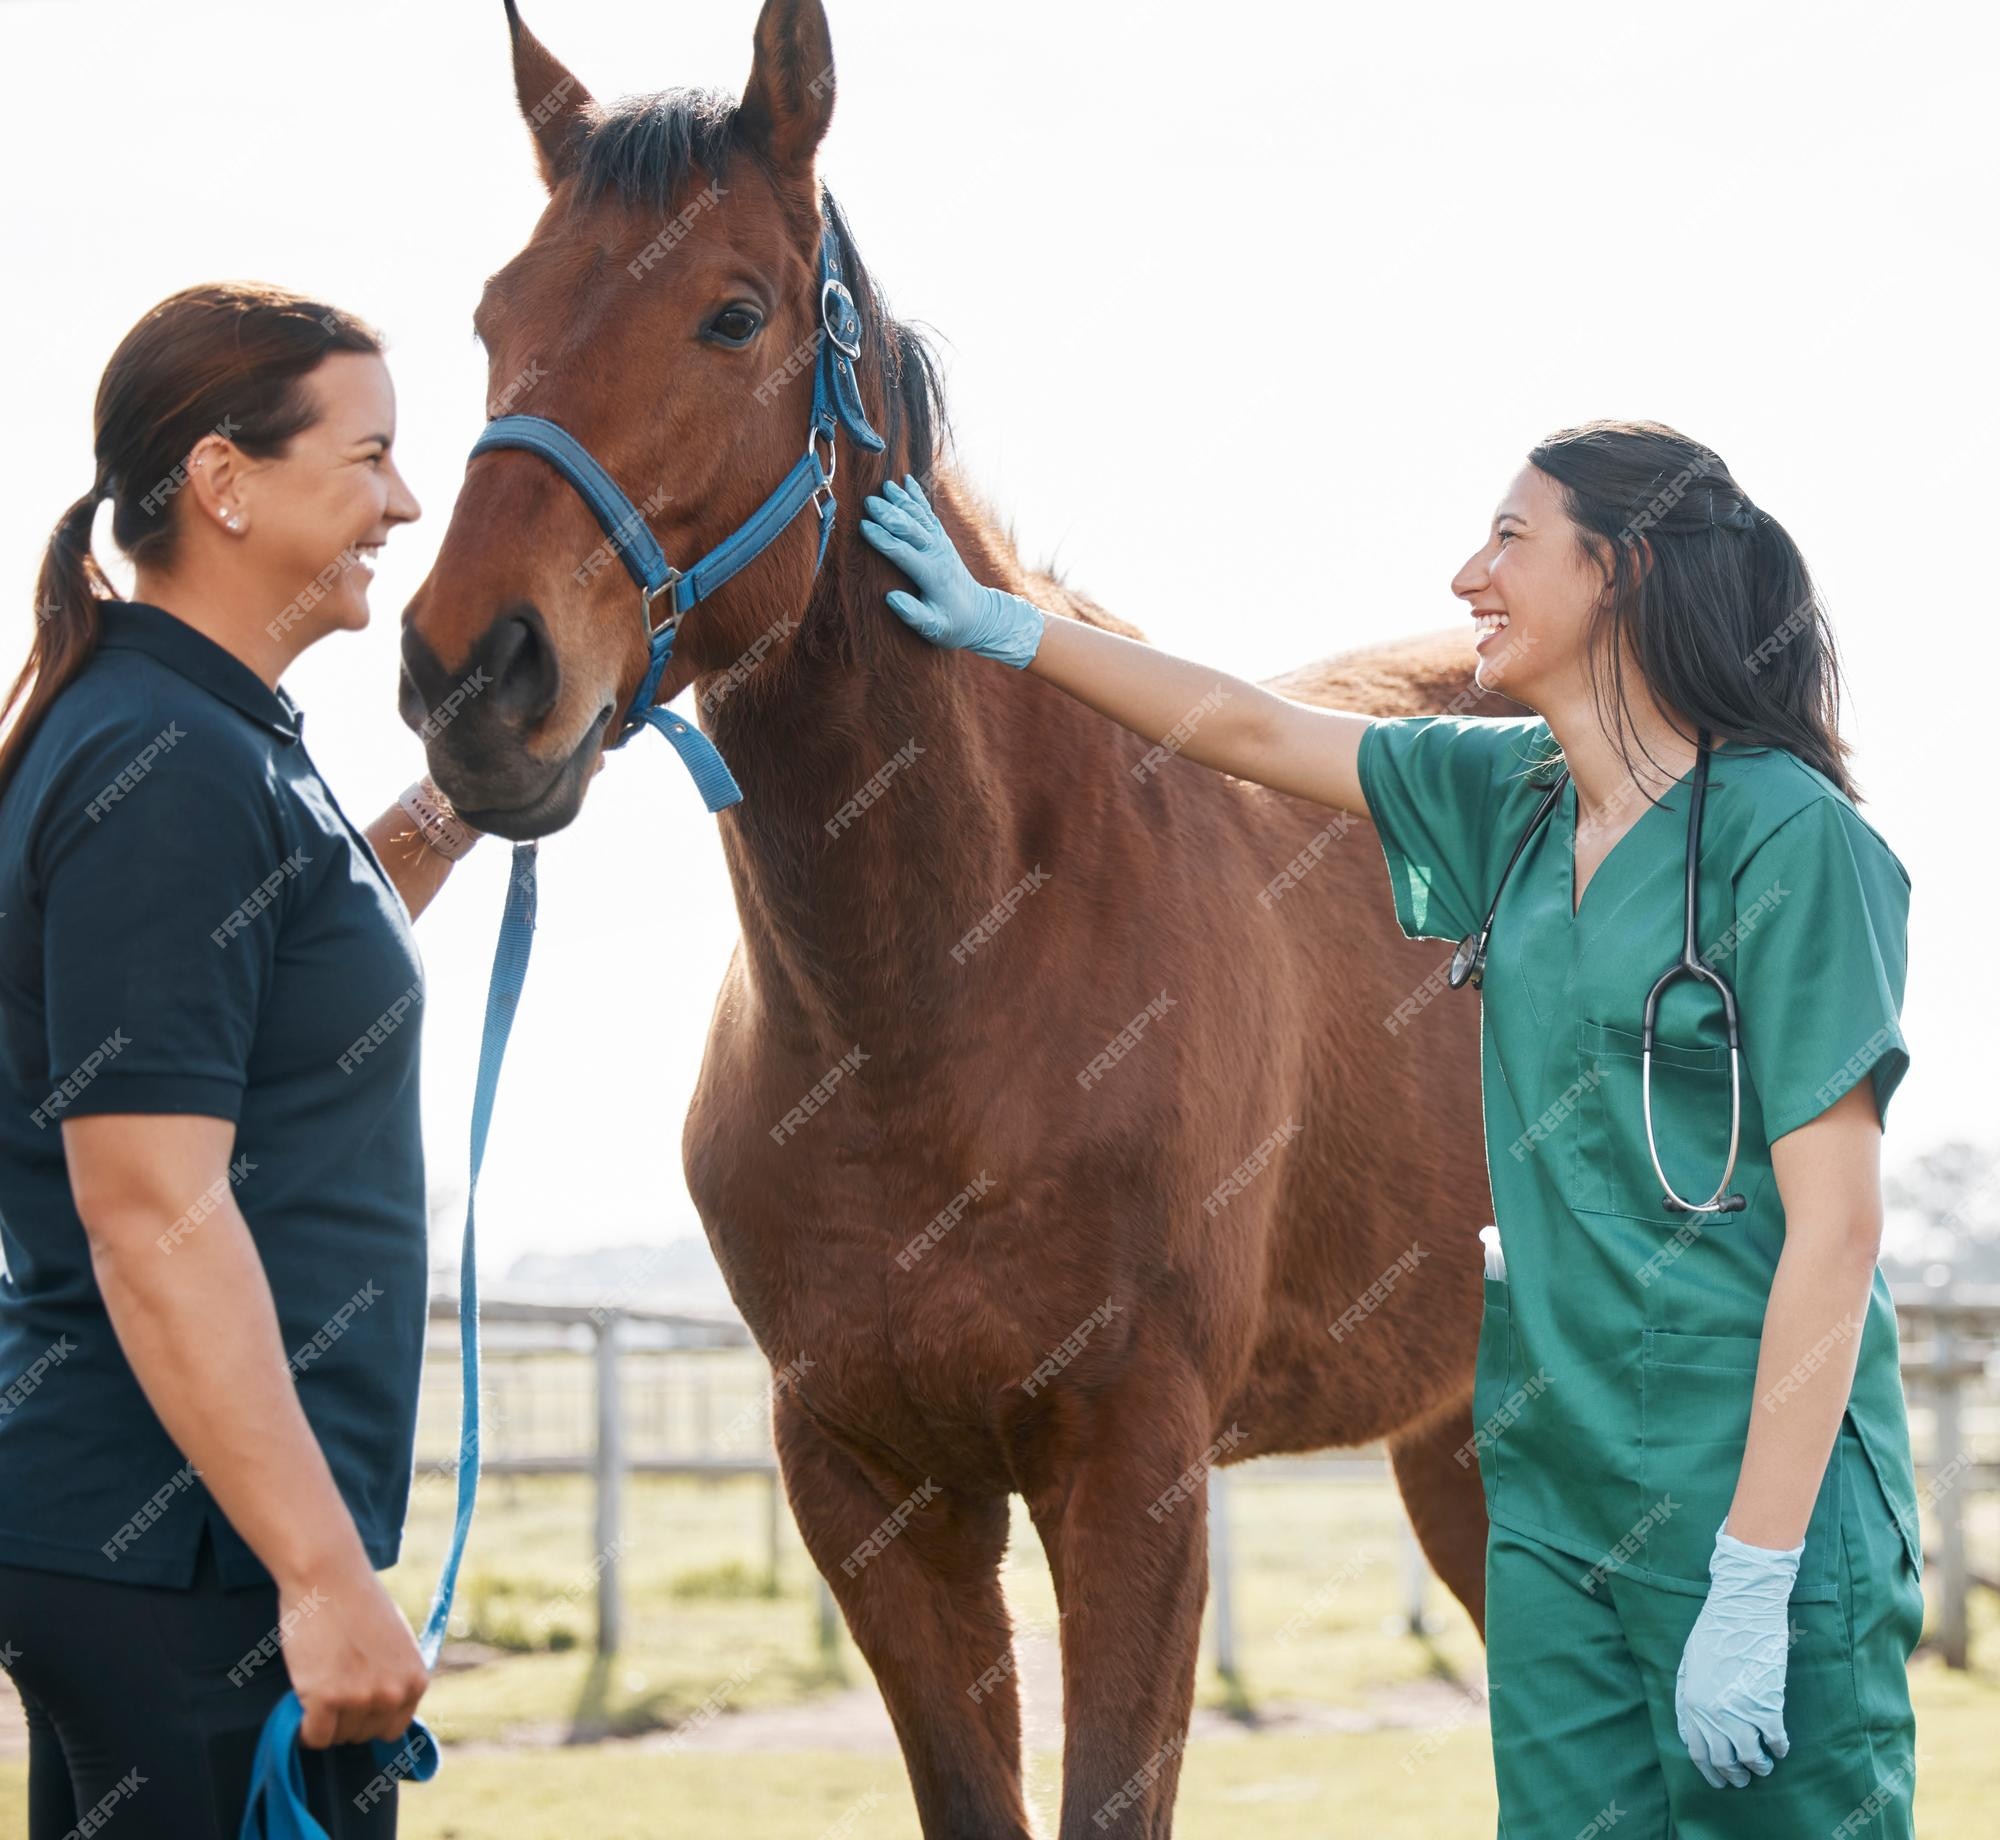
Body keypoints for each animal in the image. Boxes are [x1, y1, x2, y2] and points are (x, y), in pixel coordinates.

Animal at [406, 7, 1520, 1832]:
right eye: (497, 313)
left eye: (735, 311)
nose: (468, 676)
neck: (937, 991)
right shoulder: (871, 1487)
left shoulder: (1132, 1476)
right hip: (1464, 1439)